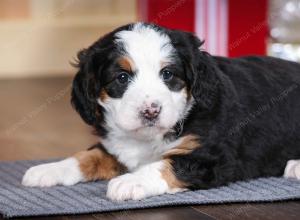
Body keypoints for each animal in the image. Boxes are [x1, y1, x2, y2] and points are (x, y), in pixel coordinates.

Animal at [22, 22, 300, 201]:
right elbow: (88, 156)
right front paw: (49, 169)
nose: (150, 111)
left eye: (167, 74)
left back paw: (295, 166)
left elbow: (165, 164)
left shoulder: (214, 157)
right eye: (122, 77)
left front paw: (131, 181)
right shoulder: (115, 146)